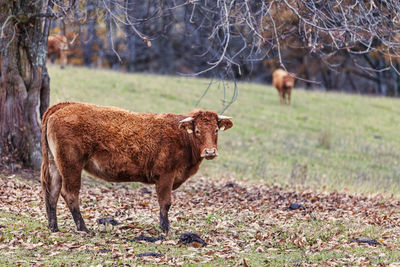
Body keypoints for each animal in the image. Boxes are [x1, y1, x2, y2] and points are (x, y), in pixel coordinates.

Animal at [39, 102, 234, 234]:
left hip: (55, 164)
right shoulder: (166, 175)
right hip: (71, 165)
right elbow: (165, 203)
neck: (182, 138)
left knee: (51, 193)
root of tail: (66, 105)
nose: (210, 151)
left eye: (216, 130)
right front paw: (165, 229)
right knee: (69, 194)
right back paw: (83, 228)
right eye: (197, 131)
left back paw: (54, 227)